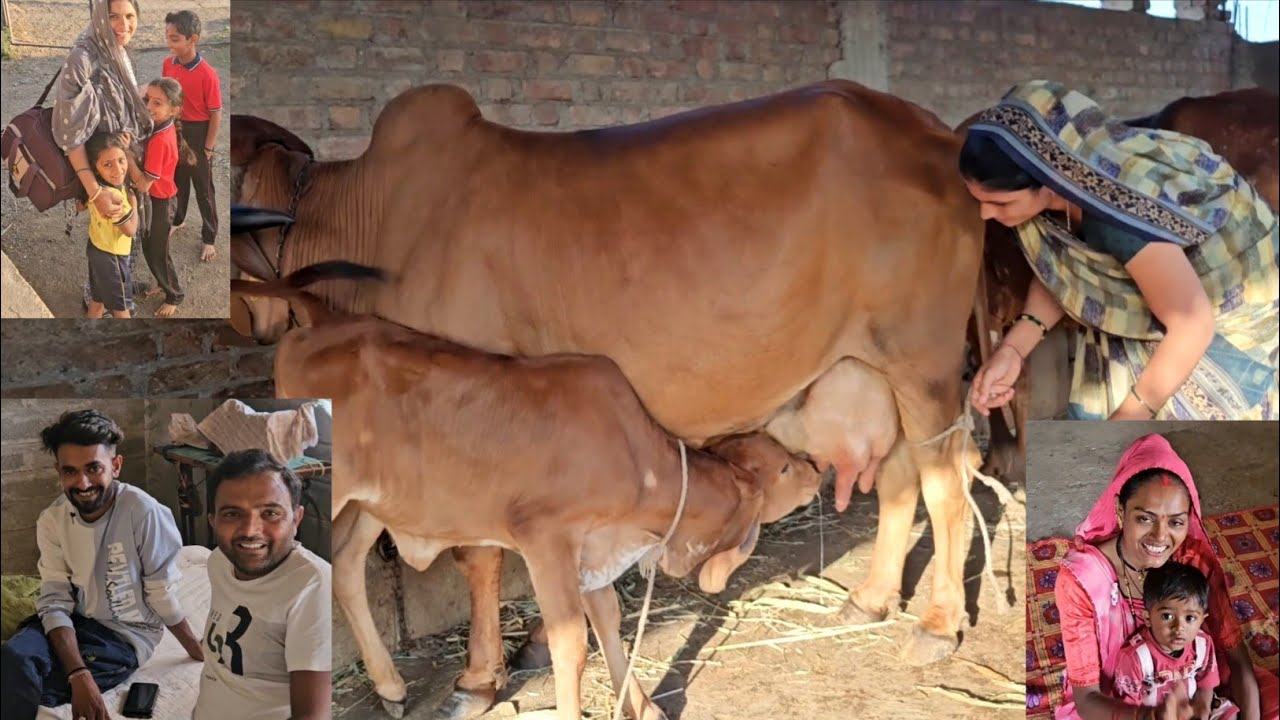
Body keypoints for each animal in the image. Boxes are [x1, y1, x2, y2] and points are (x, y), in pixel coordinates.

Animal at [231, 260, 824, 719]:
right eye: (782, 469)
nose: (816, 469)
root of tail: (321, 319)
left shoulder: (592, 553)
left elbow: (609, 621)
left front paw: (643, 706)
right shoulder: (547, 541)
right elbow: (571, 643)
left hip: (377, 500)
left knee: (347, 562)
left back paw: (391, 687)